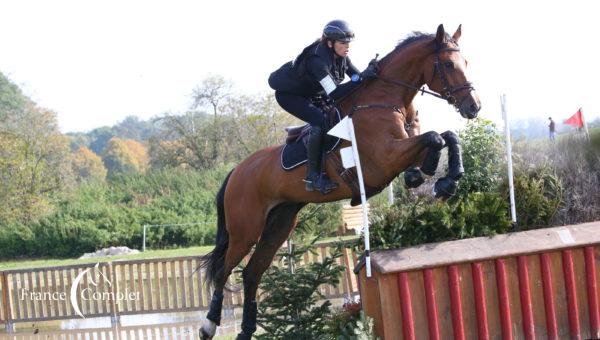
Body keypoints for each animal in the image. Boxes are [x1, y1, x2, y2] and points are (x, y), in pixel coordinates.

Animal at [202, 24, 482, 340]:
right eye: (448, 64)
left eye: (465, 63)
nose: (474, 107)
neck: (387, 100)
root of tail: (236, 171)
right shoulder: (385, 159)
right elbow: (434, 137)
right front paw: (436, 176)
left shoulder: (405, 146)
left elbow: (446, 136)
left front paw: (447, 179)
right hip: (245, 229)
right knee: (225, 271)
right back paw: (209, 324)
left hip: (279, 223)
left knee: (252, 272)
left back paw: (246, 331)